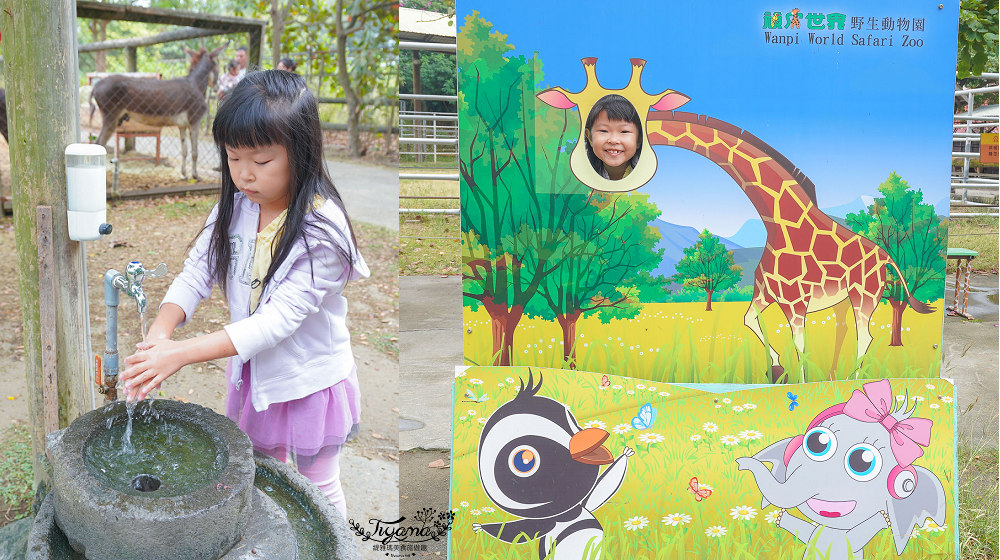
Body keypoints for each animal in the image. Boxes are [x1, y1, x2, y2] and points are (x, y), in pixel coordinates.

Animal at [540, 59, 936, 382]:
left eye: (629, 124)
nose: (588, 164)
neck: (778, 221)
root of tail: (886, 256)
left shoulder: (796, 303)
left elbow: (800, 345)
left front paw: (799, 385)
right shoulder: (766, 294)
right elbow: (750, 321)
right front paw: (776, 370)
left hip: (865, 294)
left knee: (866, 335)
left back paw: (851, 381)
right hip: (843, 299)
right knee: (847, 333)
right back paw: (836, 377)